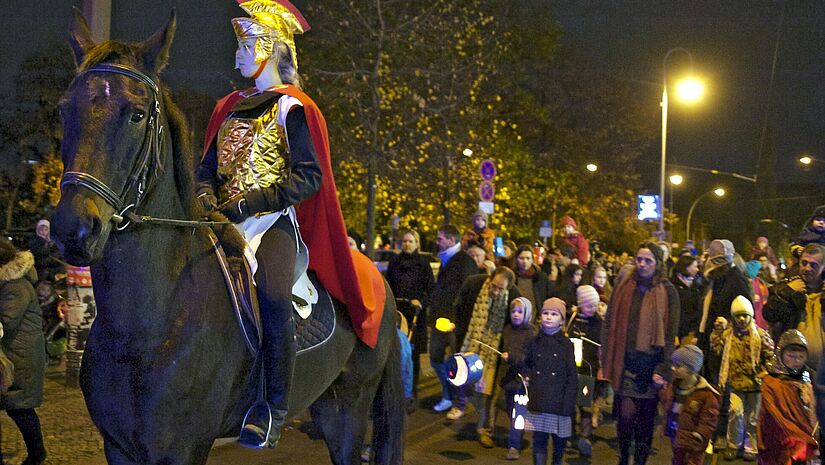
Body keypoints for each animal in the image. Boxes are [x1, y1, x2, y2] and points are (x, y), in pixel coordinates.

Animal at [50, 11, 404, 464]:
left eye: (137, 114)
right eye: (65, 110)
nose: (73, 228)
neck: (142, 329)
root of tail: (381, 282)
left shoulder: (183, 449)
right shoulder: (119, 447)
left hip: (349, 412)